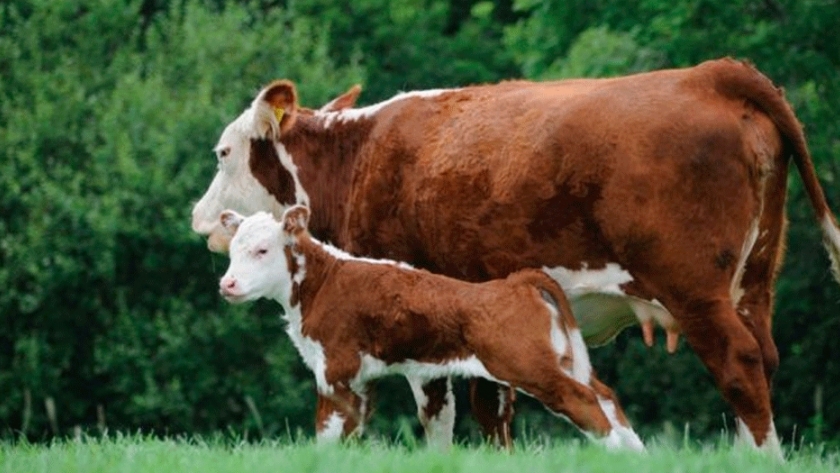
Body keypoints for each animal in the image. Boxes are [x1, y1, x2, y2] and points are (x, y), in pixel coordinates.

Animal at [217, 205, 645, 450]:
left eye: (262, 250)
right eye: (234, 249)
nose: (228, 284)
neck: (322, 283)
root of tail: (516, 281)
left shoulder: (335, 372)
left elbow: (327, 434)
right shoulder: (361, 379)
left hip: (530, 366)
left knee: (585, 402)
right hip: (561, 359)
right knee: (605, 396)